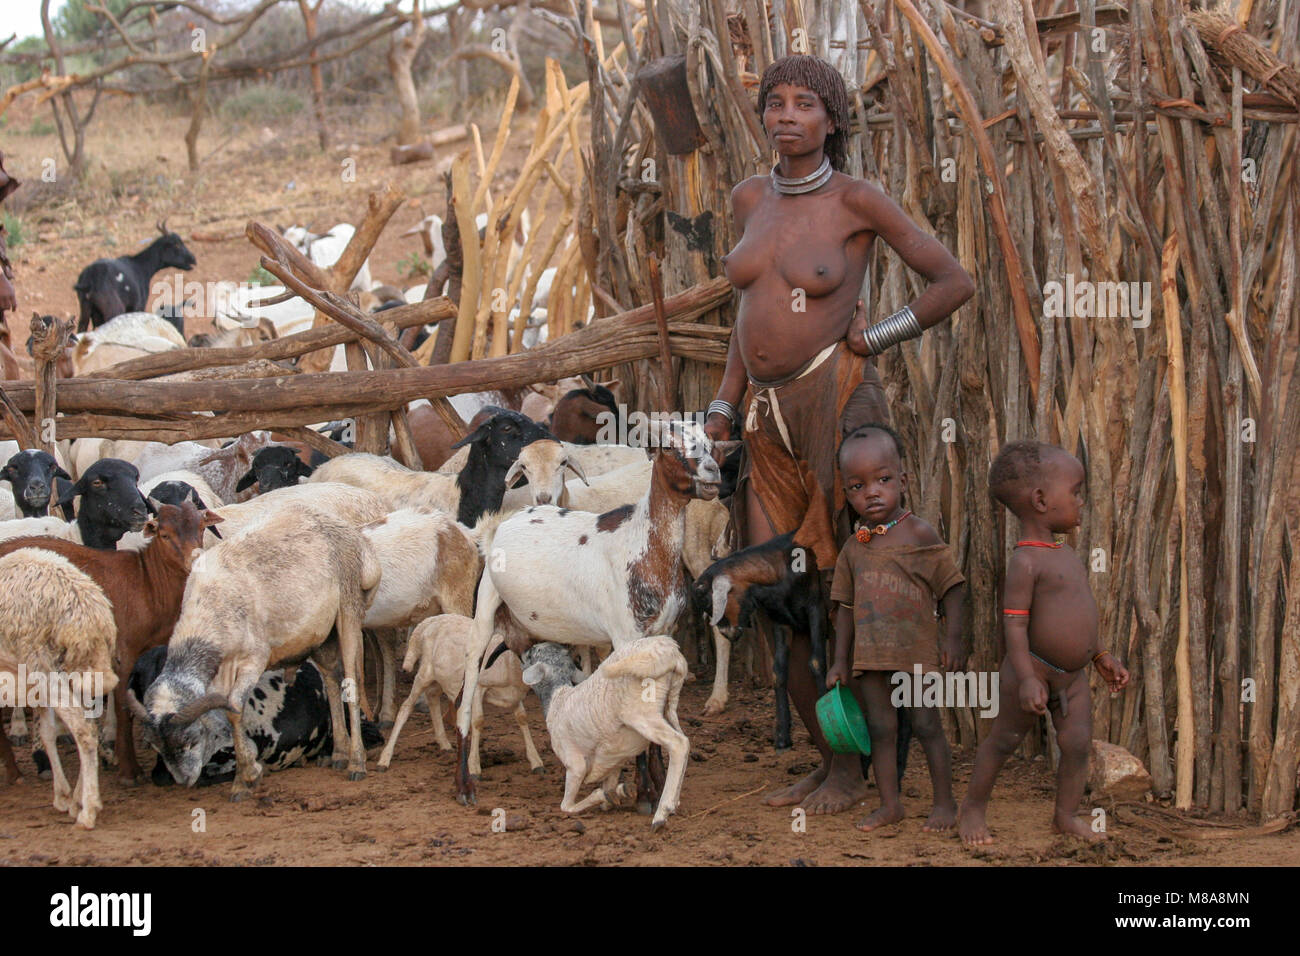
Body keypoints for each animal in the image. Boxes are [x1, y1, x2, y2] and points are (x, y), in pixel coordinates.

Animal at [0, 546, 116, 832]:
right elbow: (47, 732)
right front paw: (62, 795)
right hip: (76, 670)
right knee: (86, 726)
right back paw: (77, 799)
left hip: (42, 663)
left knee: (83, 729)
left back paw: (88, 811)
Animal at [128, 504, 379, 796]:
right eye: (155, 746)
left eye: (189, 740)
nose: (184, 780)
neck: (209, 610)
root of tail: (354, 537)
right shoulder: (220, 671)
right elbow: (226, 711)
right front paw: (247, 773)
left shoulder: (253, 661)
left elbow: (234, 708)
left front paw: (245, 778)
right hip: (321, 633)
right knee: (330, 678)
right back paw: (339, 753)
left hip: (349, 606)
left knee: (351, 682)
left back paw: (356, 762)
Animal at [377, 613, 543, 780]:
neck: (508, 663)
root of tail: (429, 621)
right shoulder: (478, 688)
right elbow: (478, 722)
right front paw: (474, 767)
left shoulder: (514, 695)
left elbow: (522, 718)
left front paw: (536, 762)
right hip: (424, 673)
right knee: (406, 707)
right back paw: (384, 759)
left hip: (442, 676)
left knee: (432, 696)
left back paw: (444, 744)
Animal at [522, 639, 696, 832]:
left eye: (531, 654)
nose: (521, 653)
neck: (557, 697)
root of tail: (669, 649)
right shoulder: (613, 761)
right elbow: (609, 791)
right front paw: (617, 793)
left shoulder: (575, 764)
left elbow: (567, 806)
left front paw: (603, 795)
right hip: (670, 707)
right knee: (685, 742)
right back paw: (674, 803)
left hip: (641, 713)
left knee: (678, 744)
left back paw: (662, 813)